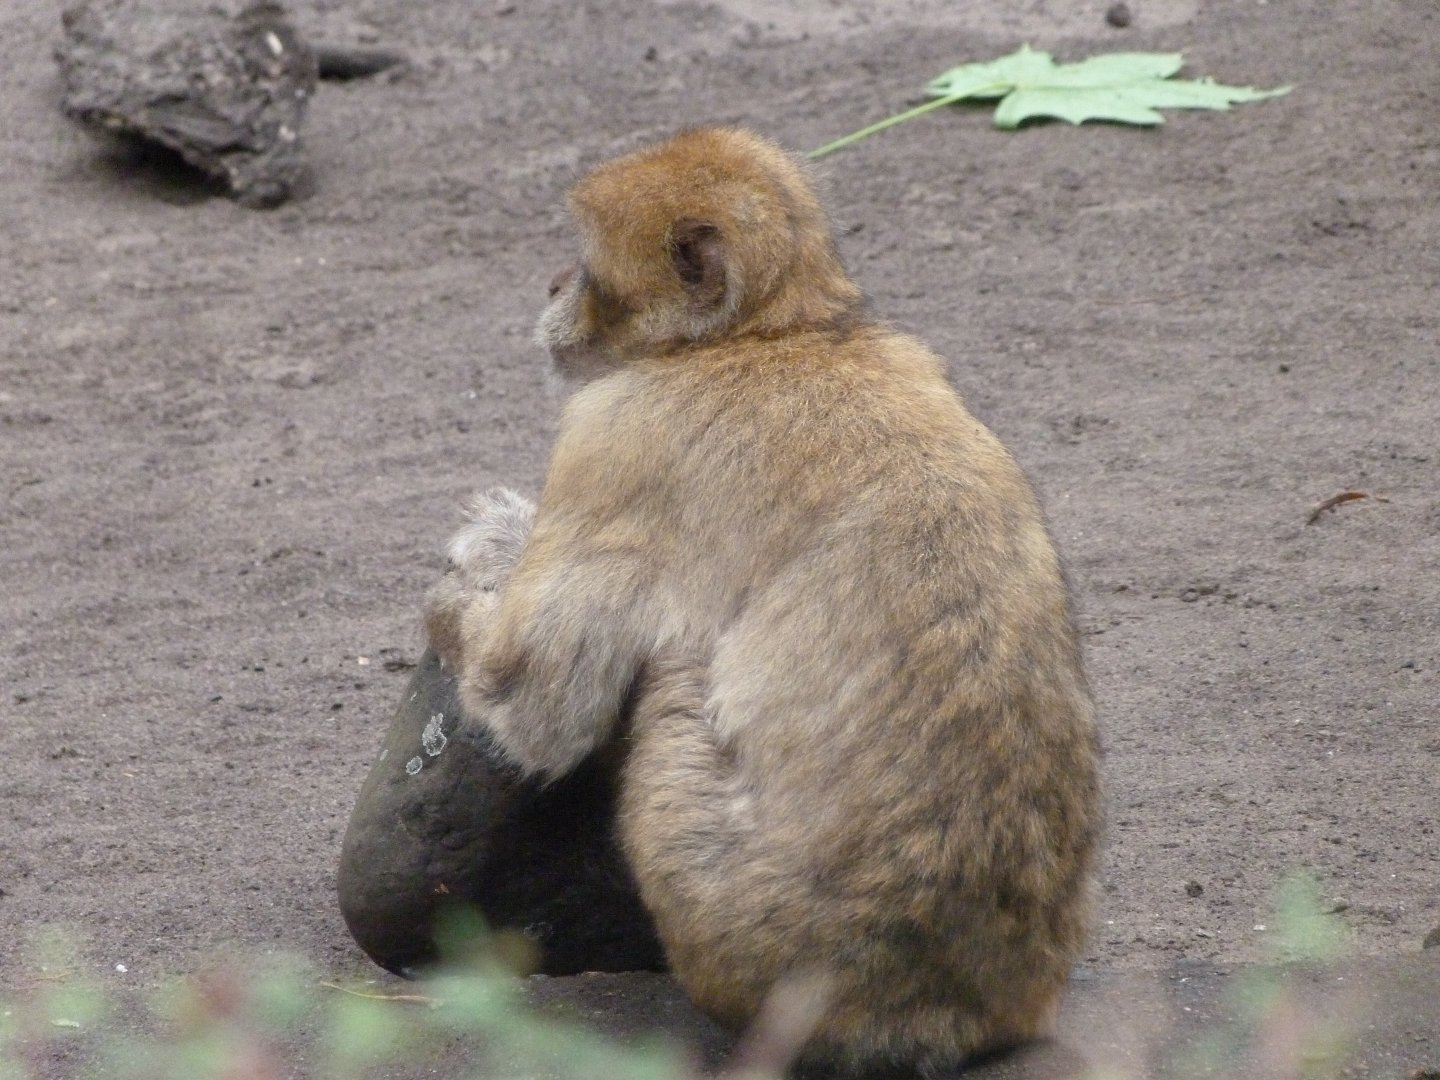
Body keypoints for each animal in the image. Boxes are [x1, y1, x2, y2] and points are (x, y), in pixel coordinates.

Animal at [424, 127, 1103, 1076]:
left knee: (664, 686)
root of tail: (954, 1015)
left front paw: (465, 584)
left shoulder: (620, 434)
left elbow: (530, 699)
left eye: (588, 263)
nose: (553, 285)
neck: (779, 332)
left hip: (732, 925)